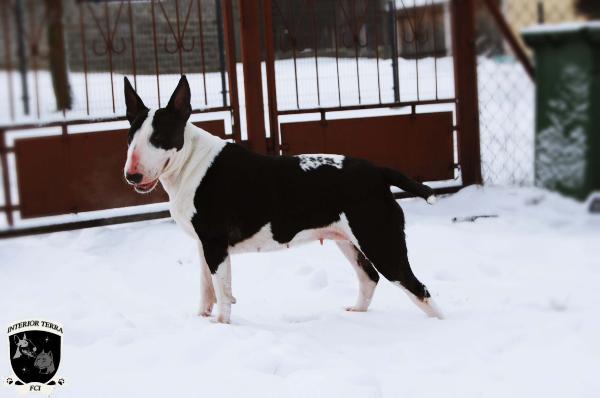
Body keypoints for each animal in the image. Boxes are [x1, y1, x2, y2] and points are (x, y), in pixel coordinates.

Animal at [123, 75, 440, 324]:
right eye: (130, 137)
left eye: (159, 138)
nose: (132, 176)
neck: (190, 162)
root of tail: (379, 172)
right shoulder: (203, 245)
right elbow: (205, 286)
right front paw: (202, 318)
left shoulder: (215, 244)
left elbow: (222, 290)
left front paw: (222, 326)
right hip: (346, 239)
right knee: (369, 277)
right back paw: (356, 313)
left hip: (380, 241)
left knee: (418, 288)